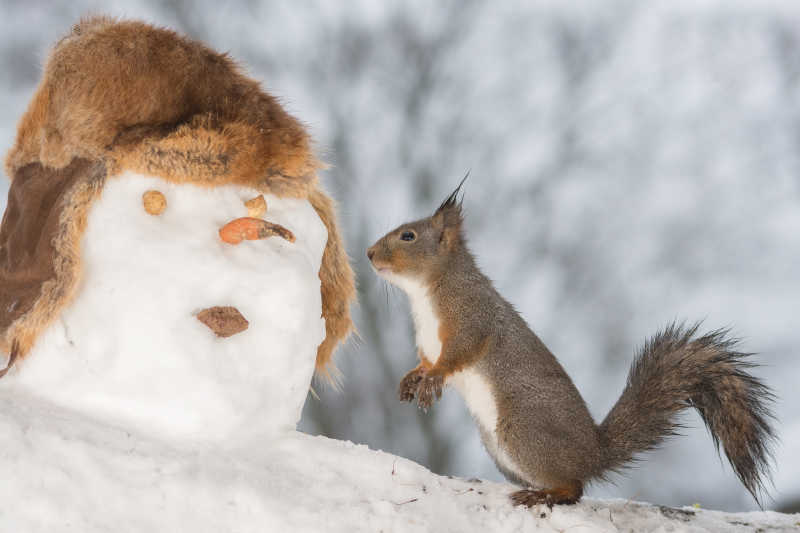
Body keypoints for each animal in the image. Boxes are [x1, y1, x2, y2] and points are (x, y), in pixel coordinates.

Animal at [368, 179, 776, 508]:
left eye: (408, 236)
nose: (370, 254)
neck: (425, 293)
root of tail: (593, 453)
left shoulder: (471, 319)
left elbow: (457, 355)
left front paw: (431, 383)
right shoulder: (427, 342)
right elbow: (425, 361)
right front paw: (412, 379)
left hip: (523, 431)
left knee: (575, 488)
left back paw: (544, 495)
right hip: (501, 449)